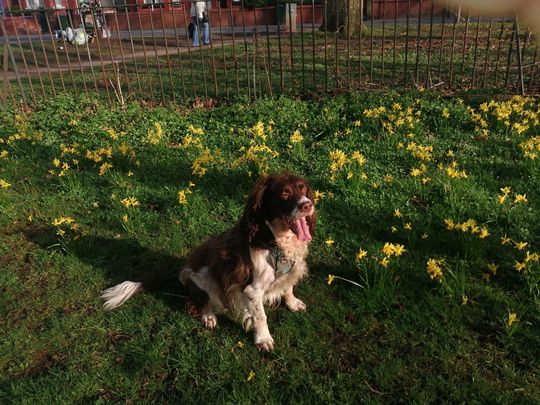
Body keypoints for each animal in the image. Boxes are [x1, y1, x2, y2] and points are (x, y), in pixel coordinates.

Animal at [100, 173, 316, 350]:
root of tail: (181, 271)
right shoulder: (252, 290)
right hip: (204, 275)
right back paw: (209, 316)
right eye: (285, 193)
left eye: (303, 189)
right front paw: (263, 339)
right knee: (198, 302)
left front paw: (293, 303)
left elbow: (287, 287)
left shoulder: (290, 269)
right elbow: (260, 316)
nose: (307, 205)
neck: (275, 240)